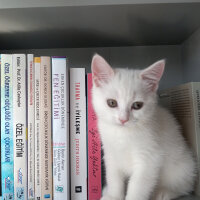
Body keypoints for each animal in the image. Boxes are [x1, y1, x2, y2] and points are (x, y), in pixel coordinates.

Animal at [91, 54, 196, 200]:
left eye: (137, 105)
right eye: (111, 103)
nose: (123, 119)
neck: (122, 133)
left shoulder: (150, 158)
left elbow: (138, 185)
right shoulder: (110, 153)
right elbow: (114, 177)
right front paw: (113, 196)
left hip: (183, 167)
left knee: (185, 185)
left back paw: (165, 192)